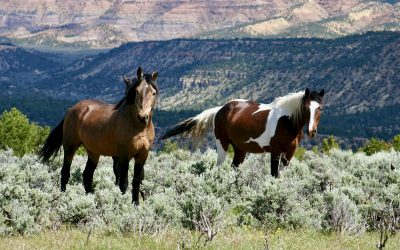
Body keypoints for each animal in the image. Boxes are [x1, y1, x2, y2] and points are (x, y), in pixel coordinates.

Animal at [39, 67, 158, 204]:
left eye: (153, 93)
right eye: (137, 91)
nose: (143, 117)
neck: (138, 127)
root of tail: (71, 109)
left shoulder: (142, 155)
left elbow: (137, 181)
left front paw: (136, 204)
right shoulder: (124, 155)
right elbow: (123, 183)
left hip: (93, 153)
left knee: (87, 175)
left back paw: (90, 199)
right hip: (70, 147)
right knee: (65, 172)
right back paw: (64, 197)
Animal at [161, 89, 324, 177]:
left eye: (320, 108)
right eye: (306, 108)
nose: (312, 131)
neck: (286, 121)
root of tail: (221, 109)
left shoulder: (289, 153)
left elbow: (281, 175)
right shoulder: (275, 152)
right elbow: (273, 174)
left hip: (240, 149)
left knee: (234, 167)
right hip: (222, 144)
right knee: (219, 167)